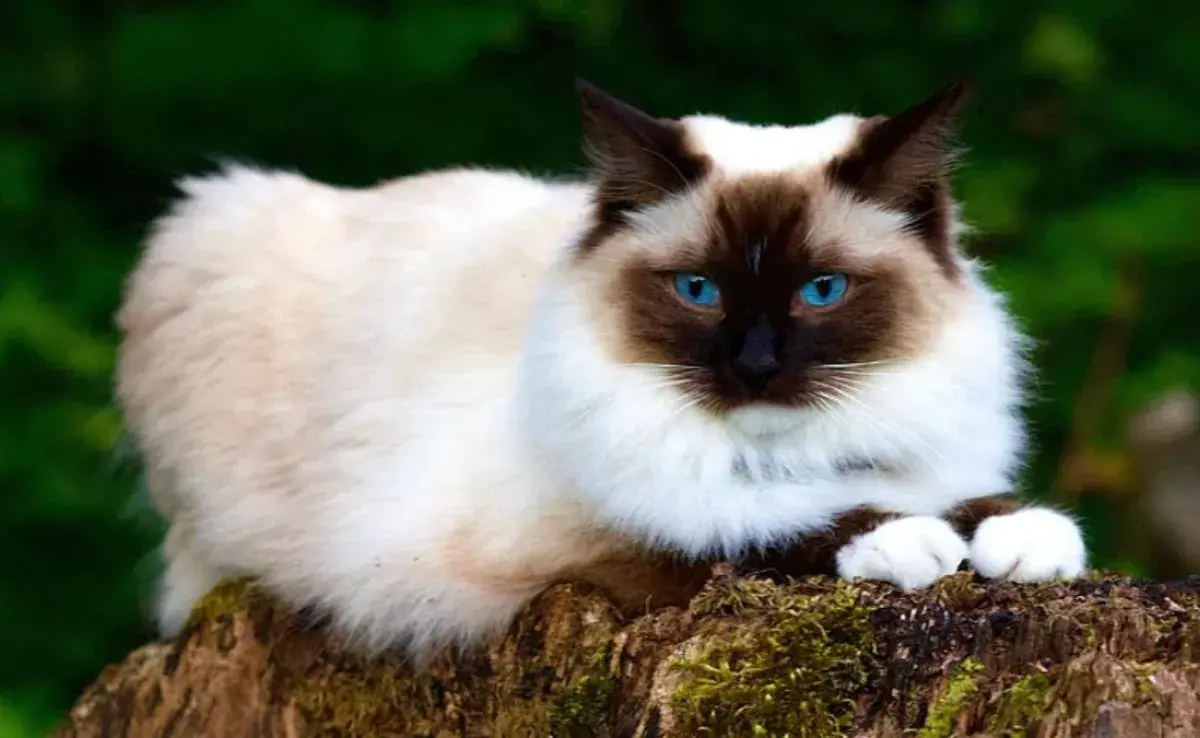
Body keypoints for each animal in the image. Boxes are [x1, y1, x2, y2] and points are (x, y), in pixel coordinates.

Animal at [114, 78, 1089, 662]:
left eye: (822, 290)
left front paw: (1026, 539)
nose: (755, 364)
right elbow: (748, 529)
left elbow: (955, 492)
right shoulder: (559, 547)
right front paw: (906, 542)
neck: (780, 451)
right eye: (699, 289)